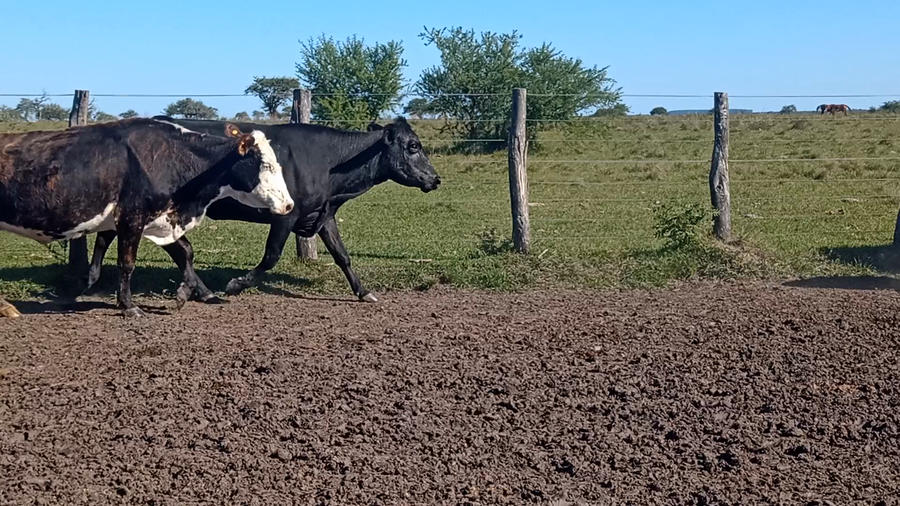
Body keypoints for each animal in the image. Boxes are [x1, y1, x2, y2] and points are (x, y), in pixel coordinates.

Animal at [0, 118, 294, 318]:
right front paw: (128, 306)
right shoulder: (131, 217)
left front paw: (186, 292)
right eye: (265, 165)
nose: (289, 205)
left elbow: (186, 253)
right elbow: (127, 263)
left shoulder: (164, 219)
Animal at [78, 116, 440, 305]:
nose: (435, 178)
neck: (329, 162)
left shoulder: (322, 214)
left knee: (114, 235)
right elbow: (270, 257)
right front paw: (236, 284)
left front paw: (364, 292)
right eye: (413, 146)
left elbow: (342, 255)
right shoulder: (286, 215)